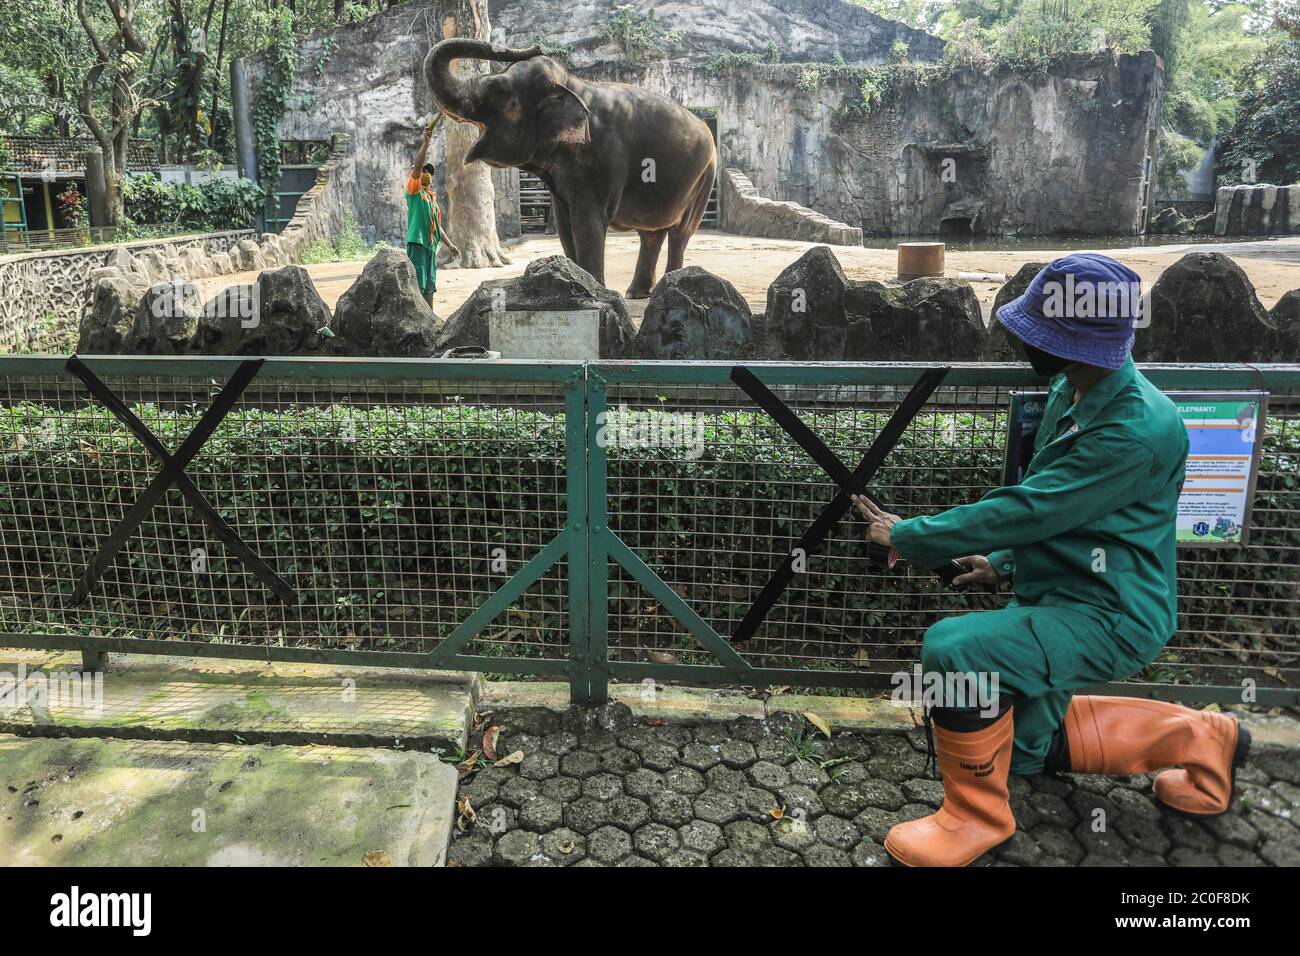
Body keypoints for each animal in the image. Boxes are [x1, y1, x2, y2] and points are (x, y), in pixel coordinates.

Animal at [426, 39, 717, 299]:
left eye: (498, 89)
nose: (536, 45)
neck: (574, 85)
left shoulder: (603, 159)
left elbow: (587, 222)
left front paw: (597, 294)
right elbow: (565, 223)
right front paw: (575, 284)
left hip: (705, 176)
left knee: (680, 231)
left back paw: (670, 285)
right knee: (651, 234)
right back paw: (636, 294)